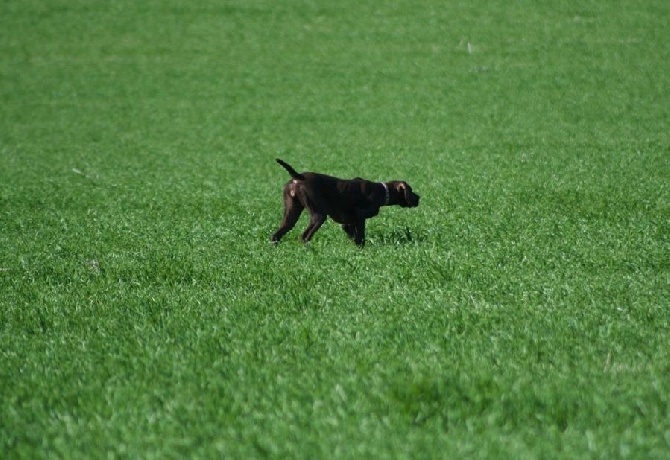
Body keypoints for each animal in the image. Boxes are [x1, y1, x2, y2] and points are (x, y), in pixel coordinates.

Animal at [272, 157, 420, 244]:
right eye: (411, 190)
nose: (419, 198)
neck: (381, 191)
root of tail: (298, 177)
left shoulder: (348, 223)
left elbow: (352, 235)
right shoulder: (360, 215)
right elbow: (361, 236)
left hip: (291, 213)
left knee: (276, 235)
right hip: (319, 215)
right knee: (305, 236)